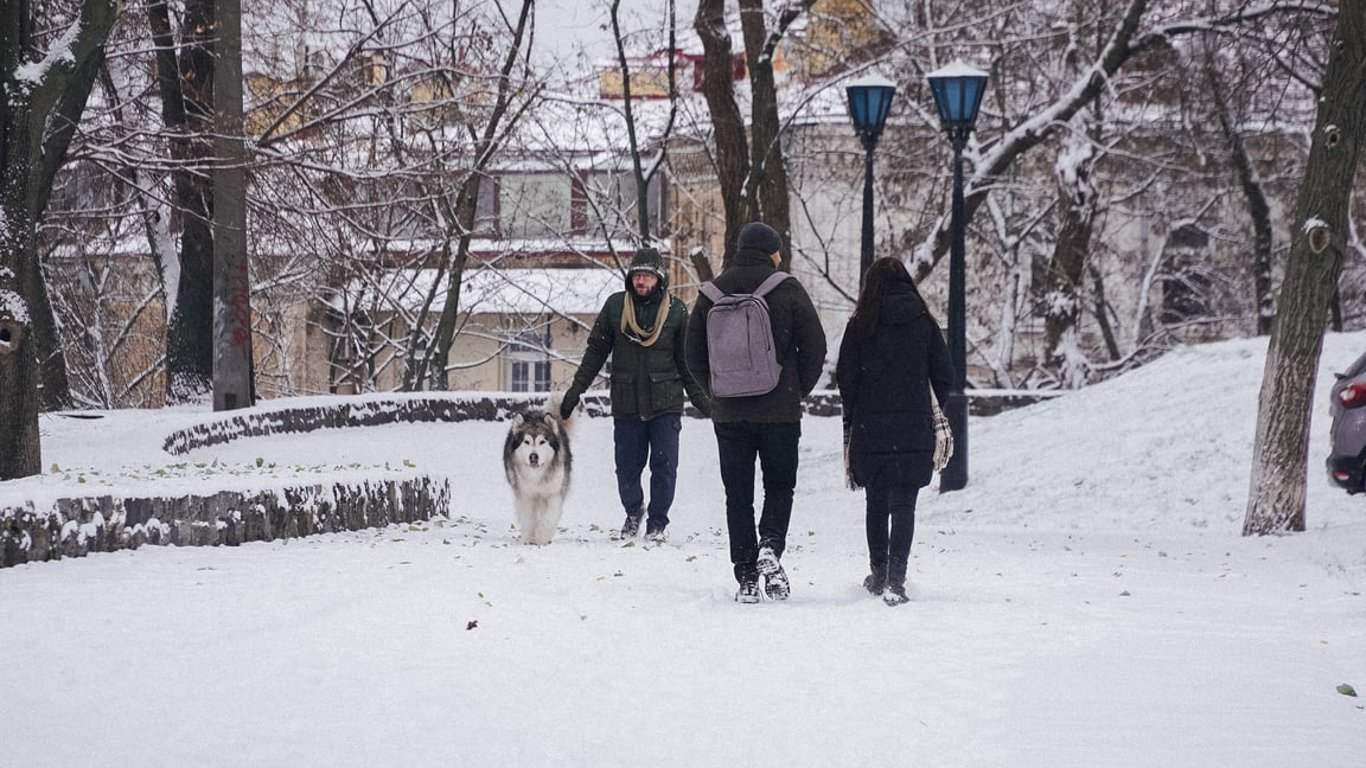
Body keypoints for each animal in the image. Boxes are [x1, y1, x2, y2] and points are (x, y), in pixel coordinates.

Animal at [502, 390, 570, 541]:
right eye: (526, 442)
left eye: (542, 442)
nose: (533, 457)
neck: (536, 476)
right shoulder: (525, 494)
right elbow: (528, 518)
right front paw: (528, 538)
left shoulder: (553, 493)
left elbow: (549, 517)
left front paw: (541, 537)